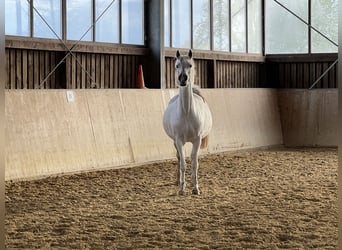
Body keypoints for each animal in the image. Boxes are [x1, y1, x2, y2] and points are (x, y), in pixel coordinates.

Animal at [162, 50, 211, 195]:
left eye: (190, 65)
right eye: (177, 65)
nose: (182, 79)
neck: (187, 113)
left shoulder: (197, 140)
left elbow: (194, 163)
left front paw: (195, 188)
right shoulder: (178, 140)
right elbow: (183, 163)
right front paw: (182, 188)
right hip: (175, 141)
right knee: (179, 158)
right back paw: (178, 181)